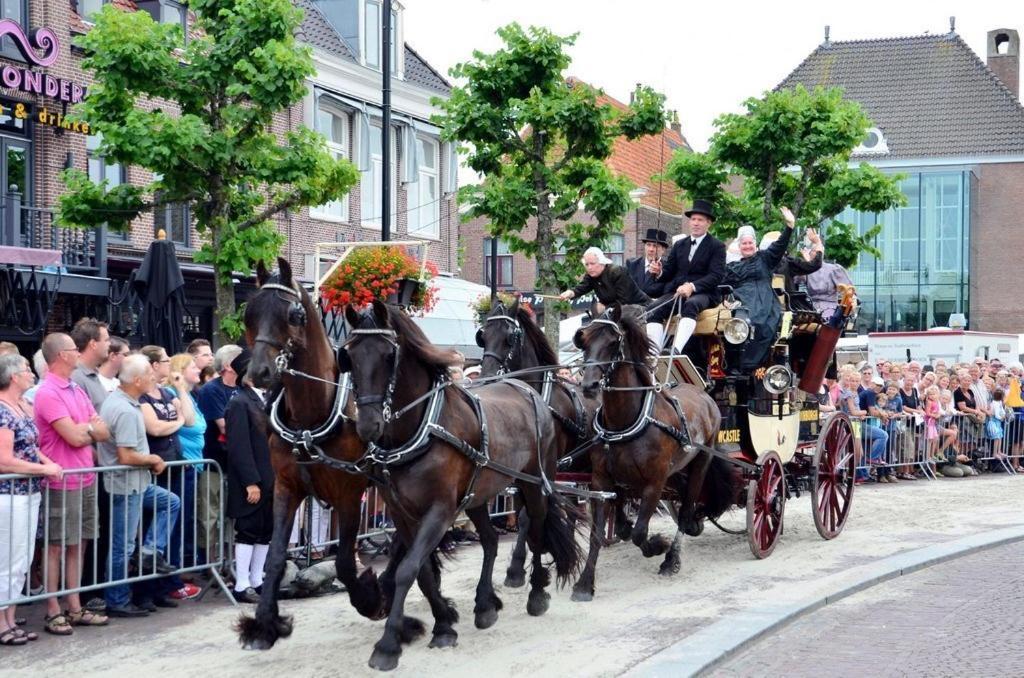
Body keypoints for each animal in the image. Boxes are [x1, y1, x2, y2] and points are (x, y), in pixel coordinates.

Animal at [342, 303, 585, 675]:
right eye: (350, 355)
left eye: (388, 355)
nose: (368, 426)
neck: (423, 426)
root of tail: (524, 389)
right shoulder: (402, 513)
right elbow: (422, 572)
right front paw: (444, 624)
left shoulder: (440, 511)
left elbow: (407, 570)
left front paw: (387, 646)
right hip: (479, 494)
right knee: (490, 539)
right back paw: (485, 604)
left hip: (533, 482)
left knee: (536, 528)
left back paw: (535, 592)